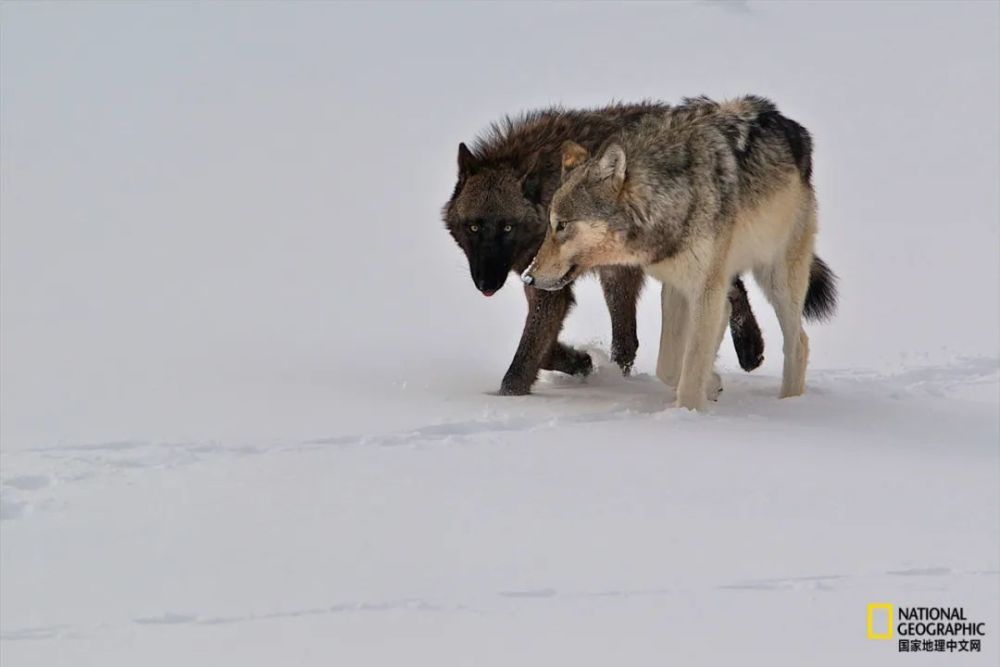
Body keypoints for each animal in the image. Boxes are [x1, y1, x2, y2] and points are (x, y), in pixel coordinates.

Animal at [444, 103, 764, 394]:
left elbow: (528, 355)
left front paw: (509, 396)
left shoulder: (550, 290)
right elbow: (548, 349)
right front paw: (580, 361)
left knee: (729, 287)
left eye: (507, 228)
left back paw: (751, 348)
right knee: (628, 340)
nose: (486, 284)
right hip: (620, 275)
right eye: (473, 227)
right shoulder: (540, 278)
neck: (546, 189)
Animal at [520, 94, 840, 408]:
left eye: (562, 225)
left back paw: (790, 405)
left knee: (798, 343)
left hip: (776, 279)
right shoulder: (676, 287)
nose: (528, 277)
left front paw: (688, 412)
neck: (670, 198)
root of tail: (790, 125)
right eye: (549, 225)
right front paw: (711, 385)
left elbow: (691, 365)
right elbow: (671, 366)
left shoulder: (703, 289)